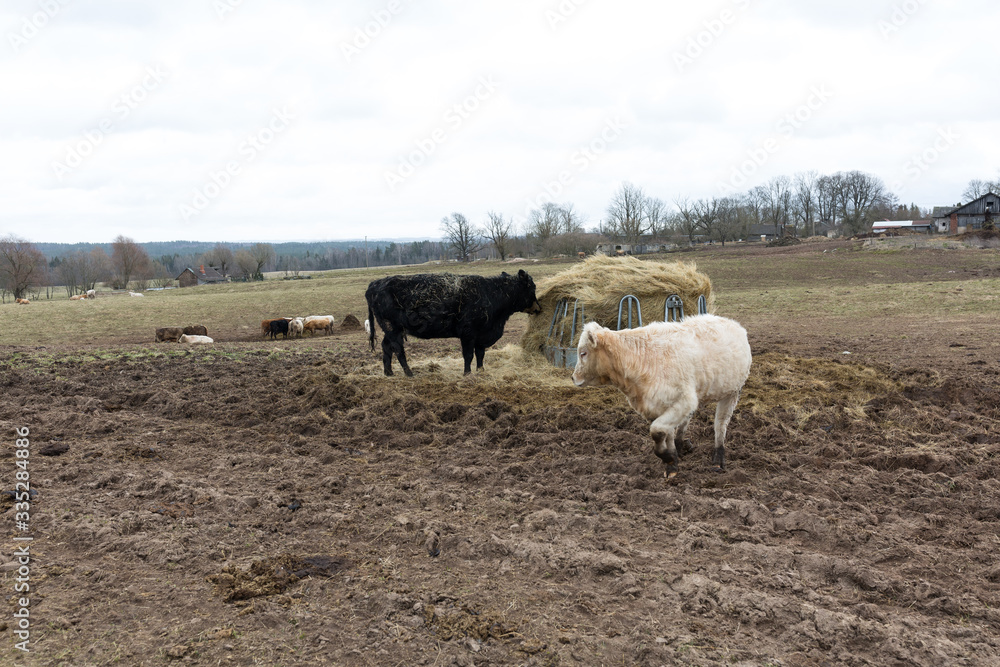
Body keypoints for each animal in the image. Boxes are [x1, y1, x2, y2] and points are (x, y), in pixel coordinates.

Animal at [366, 269, 541, 377]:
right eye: (532, 287)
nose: (539, 308)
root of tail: (375, 283)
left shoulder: (481, 335)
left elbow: (480, 354)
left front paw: (481, 371)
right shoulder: (468, 333)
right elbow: (468, 355)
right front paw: (467, 374)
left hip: (390, 329)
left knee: (386, 346)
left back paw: (389, 372)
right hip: (393, 328)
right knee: (398, 349)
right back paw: (409, 373)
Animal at [571, 314, 752, 480]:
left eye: (583, 353)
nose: (573, 378)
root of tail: (731, 323)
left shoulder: (683, 401)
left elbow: (657, 431)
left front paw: (669, 458)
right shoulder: (664, 405)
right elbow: (667, 434)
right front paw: (672, 462)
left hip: (731, 393)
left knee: (720, 425)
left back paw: (718, 460)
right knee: (685, 422)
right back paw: (682, 446)